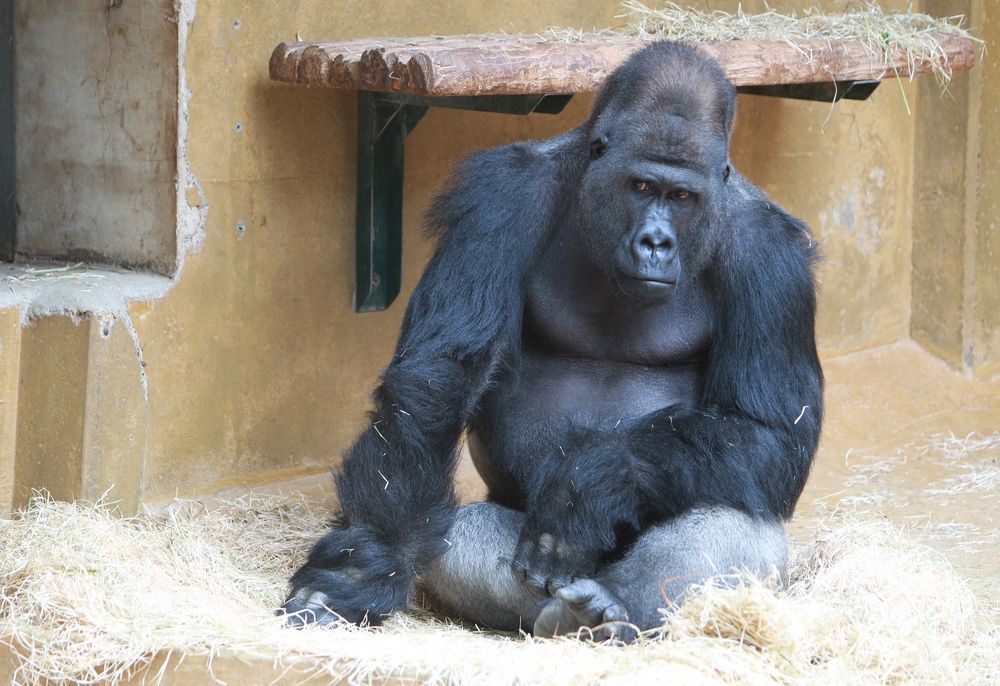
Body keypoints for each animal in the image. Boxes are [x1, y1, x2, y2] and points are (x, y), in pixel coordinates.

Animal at [280, 41, 820, 644]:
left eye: (682, 196)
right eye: (640, 187)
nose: (655, 242)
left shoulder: (774, 261)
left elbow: (769, 432)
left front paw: (596, 480)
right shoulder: (500, 199)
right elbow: (438, 377)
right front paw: (363, 566)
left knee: (737, 519)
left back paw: (615, 606)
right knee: (461, 534)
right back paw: (575, 615)